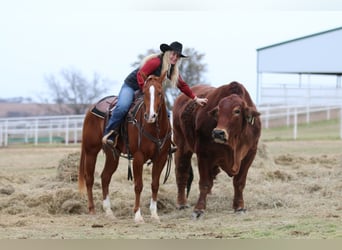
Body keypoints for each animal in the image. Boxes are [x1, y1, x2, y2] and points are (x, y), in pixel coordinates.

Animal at [79, 72, 172, 223]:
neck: (154, 129)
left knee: (105, 177)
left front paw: (154, 214)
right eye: (145, 93)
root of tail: (91, 108)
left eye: (160, 92)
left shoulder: (161, 158)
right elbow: (138, 185)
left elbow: (155, 184)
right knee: (90, 178)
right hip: (90, 151)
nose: (150, 116)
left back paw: (109, 211)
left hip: (112, 155)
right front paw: (138, 215)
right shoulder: (138, 157)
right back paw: (92, 209)